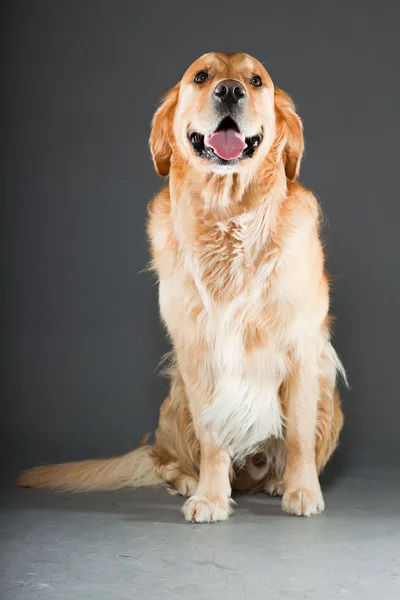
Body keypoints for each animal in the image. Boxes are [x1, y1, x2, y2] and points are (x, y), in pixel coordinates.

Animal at [17, 52, 346, 520]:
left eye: (256, 81)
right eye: (201, 77)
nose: (230, 90)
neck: (228, 215)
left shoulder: (302, 349)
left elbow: (298, 435)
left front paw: (302, 492)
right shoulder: (197, 353)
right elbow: (213, 438)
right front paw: (210, 497)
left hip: (330, 401)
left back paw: (276, 481)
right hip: (175, 401)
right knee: (165, 460)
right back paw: (190, 480)